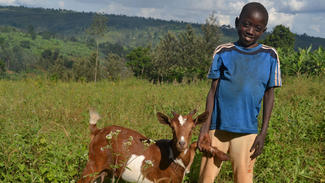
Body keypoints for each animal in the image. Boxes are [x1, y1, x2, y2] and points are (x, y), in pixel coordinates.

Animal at [77, 109, 228, 182]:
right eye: (172, 127)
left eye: (192, 128)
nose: (181, 143)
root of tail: (98, 131)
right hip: (93, 164)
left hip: (102, 171)